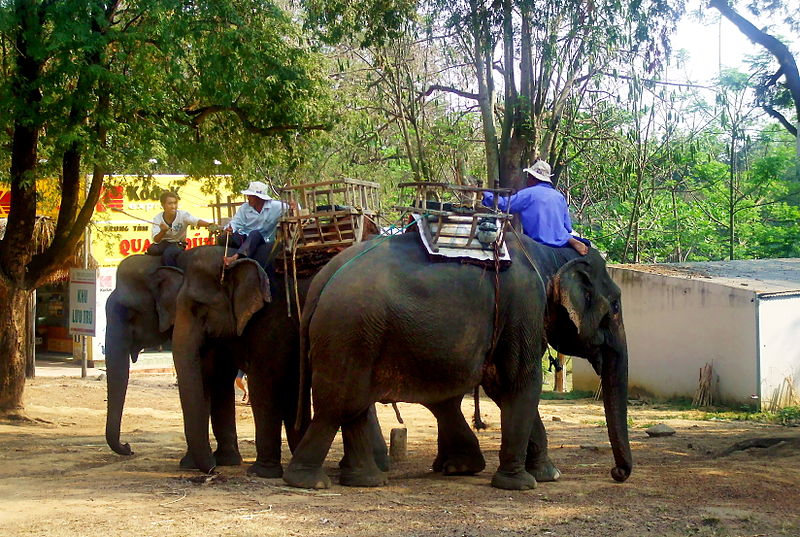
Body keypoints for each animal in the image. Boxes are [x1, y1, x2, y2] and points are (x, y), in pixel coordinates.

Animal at [282, 230, 632, 490]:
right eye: (615, 306)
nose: (617, 473)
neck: (550, 256)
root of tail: (322, 281)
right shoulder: (523, 306)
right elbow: (520, 382)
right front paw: (521, 483)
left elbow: (502, 388)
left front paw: (548, 475)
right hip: (351, 330)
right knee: (340, 403)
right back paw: (309, 482)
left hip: (357, 336)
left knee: (356, 404)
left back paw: (369, 480)